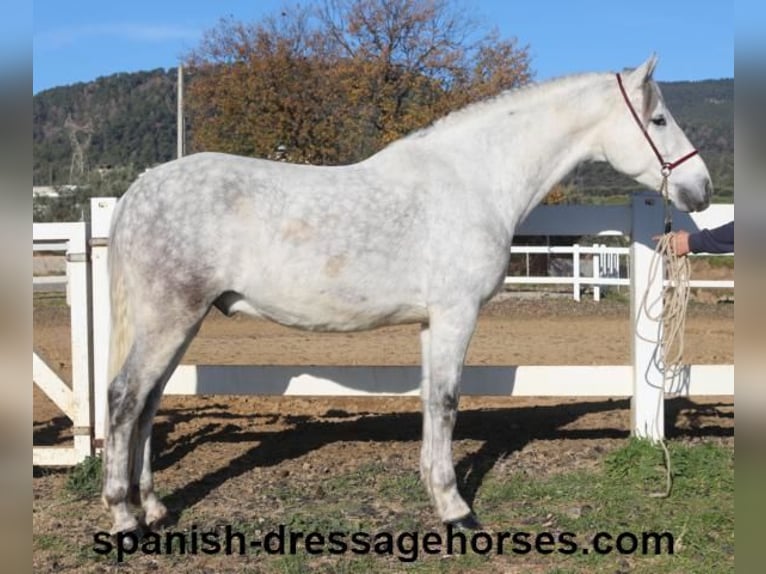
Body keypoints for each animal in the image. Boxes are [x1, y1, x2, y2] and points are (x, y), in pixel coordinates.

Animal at [102, 56, 712, 536]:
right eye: (659, 119)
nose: (701, 188)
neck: (475, 180)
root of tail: (140, 188)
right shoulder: (455, 315)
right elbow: (446, 402)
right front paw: (457, 510)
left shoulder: (428, 322)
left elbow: (428, 403)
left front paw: (437, 494)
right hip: (170, 318)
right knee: (125, 398)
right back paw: (125, 517)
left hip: (180, 322)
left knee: (149, 403)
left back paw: (153, 507)